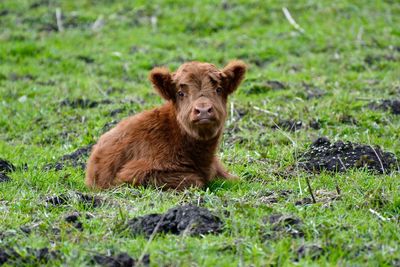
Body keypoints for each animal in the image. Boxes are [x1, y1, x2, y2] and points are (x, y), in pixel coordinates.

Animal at [86, 60, 245, 191]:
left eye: (219, 89)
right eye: (180, 93)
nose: (203, 110)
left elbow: (235, 180)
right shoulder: (134, 173)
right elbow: (194, 181)